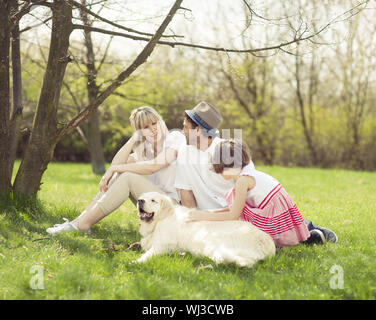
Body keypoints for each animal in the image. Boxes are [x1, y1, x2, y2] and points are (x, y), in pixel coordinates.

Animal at [137, 191, 274, 266]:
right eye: (142, 197)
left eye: (153, 200)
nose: (140, 200)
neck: (161, 219)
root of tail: (267, 243)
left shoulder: (161, 245)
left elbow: (148, 254)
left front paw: (137, 262)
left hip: (210, 240)